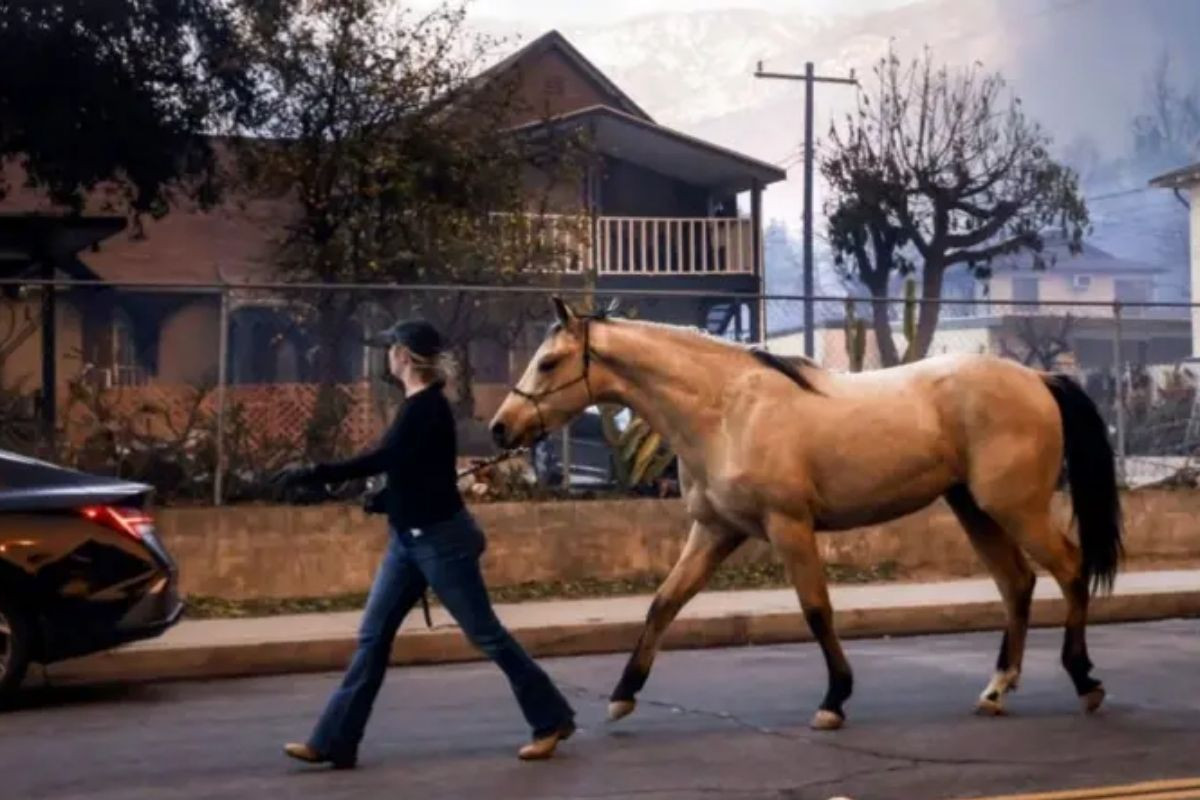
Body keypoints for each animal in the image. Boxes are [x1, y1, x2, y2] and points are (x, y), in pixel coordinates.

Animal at [482, 297, 1118, 729]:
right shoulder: (714, 531)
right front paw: (622, 694)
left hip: (1015, 507)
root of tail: (1039, 377)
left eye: (549, 362)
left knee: (1069, 569)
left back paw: (1085, 679)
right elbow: (664, 603)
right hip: (976, 510)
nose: (501, 428)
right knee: (1017, 583)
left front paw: (834, 700)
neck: (726, 411)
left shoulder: (788, 527)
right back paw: (996, 689)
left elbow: (816, 610)